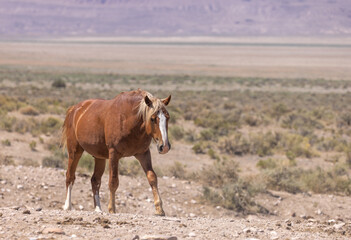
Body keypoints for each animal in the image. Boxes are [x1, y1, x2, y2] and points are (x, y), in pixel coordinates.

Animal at [61, 88, 172, 216]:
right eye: (152, 118)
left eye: (167, 117)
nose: (164, 146)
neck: (128, 119)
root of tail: (74, 109)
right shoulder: (114, 154)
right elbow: (113, 181)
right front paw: (112, 209)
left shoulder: (143, 153)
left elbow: (152, 177)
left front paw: (159, 209)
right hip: (75, 151)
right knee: (70, 176)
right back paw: (67, 206)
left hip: (99, 157)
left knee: (95, 180)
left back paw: (98, 209)